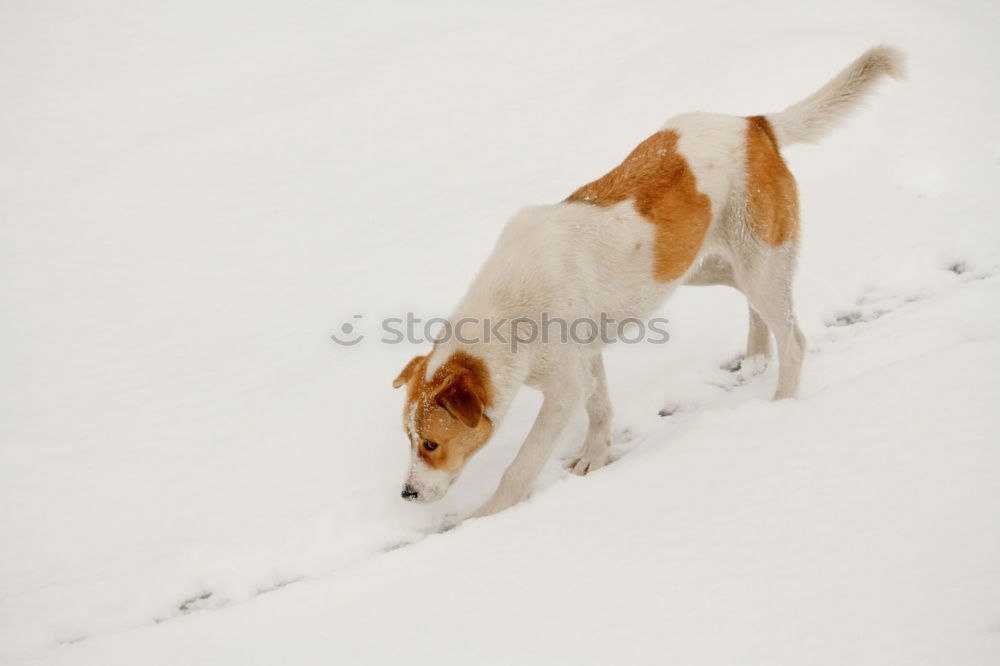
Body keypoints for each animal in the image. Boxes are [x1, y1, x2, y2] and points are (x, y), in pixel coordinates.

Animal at [392, 45, 908, 520]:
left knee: (795, 339)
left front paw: (486, 517)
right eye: (408, 438)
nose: (408, 495)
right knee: (757, 312)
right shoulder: (587, 360)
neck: (510, 312)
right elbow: (600, 409)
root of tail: (756, 125)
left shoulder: (563, 389)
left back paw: (779, 403)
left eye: (432, 444)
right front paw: (594, 458)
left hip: (759, 264)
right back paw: (757, 360)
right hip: (708, 267)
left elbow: (521, 466)